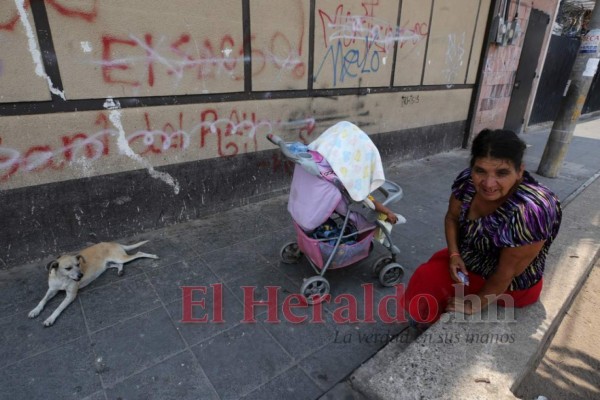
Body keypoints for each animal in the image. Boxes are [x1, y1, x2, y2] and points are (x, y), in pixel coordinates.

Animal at [27, 242, 159, 326]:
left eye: (78, 264)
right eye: (68, 268)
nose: (81, 276)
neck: (62, 278)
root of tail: (113, 242)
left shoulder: (70, 295)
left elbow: (58, 308)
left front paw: (50, 319)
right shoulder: (52, 290)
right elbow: (42, 300)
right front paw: (35, 311)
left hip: (120, 257)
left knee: (138, 253)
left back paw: (153, 256)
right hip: (108, 264)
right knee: (119, 264)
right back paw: (120, 271)